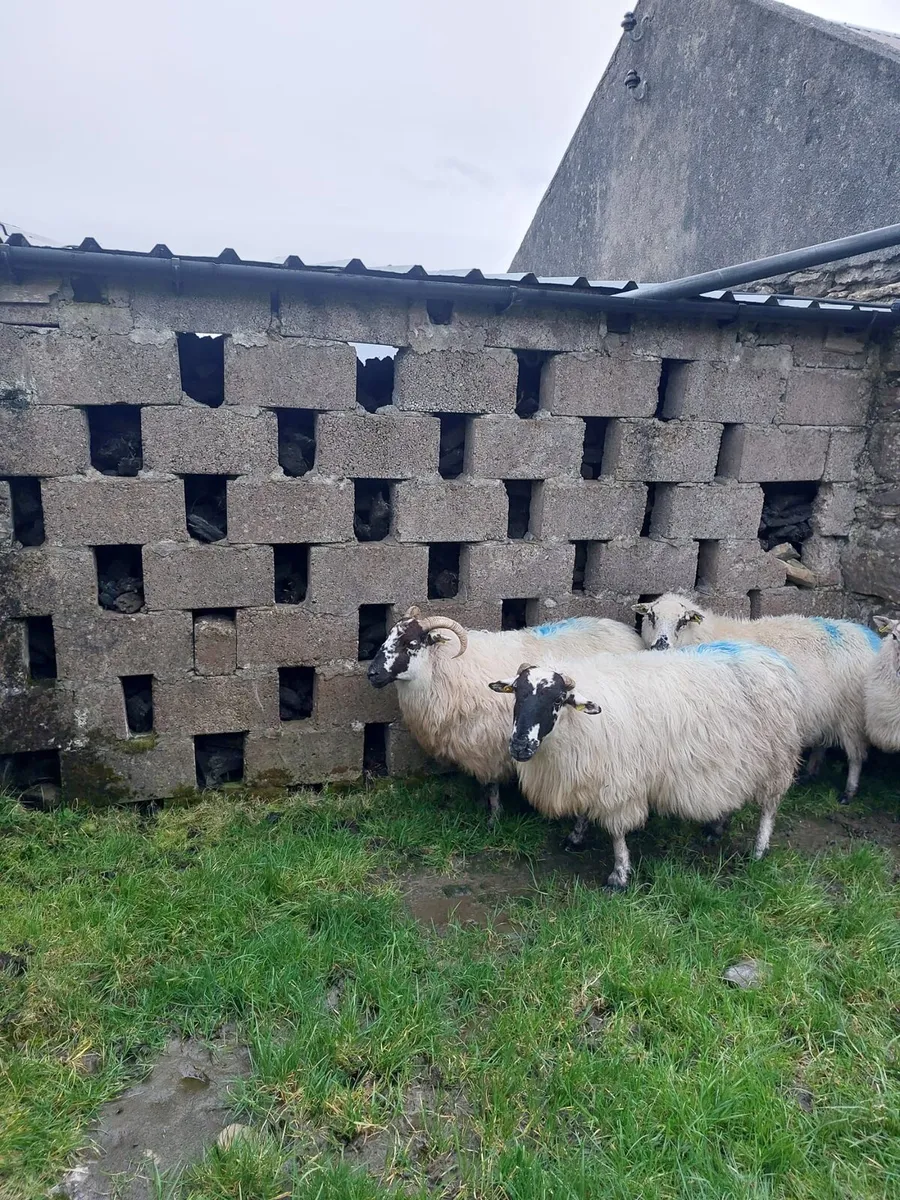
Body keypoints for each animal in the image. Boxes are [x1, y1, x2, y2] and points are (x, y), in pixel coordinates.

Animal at [366, 607, 642, 831]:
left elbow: (491, 785)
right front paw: (483, 806)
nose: (372, 674)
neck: (444, 668)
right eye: (388, 637)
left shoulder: (489, 745)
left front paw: (493, 818)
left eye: (411, 643)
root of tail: (627, 631)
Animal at [488, 643, 805, 890]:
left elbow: (617, 833)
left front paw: (618, 877)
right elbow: (583, 811)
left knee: (769, 808)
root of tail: (772, 657)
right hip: (737, 760)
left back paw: (759, 851)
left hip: (776, 760)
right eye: (516, 694)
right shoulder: (590, 770)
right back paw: (716, 828)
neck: (573, 726)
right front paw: (575, 837)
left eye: (557, 699)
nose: (520, 746)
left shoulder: (618, 782)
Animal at [633, 593, 882, 805]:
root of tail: (869, 637)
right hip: (825, 710)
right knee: (822, 743)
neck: (705, 635)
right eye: (651, 616)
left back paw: (848, 793)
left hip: (852, 714)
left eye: (683, 621)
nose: (660, 645)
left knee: (856, 757)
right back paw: (809, 774)